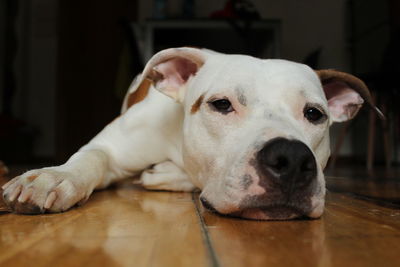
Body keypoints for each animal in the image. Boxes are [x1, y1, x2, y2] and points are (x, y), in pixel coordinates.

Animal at [0, 47, 382, 220]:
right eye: (221, 105)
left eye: (314, 114)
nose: (290, 158)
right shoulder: (112, 147)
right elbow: (90, 156)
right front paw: (52, 178)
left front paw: (166, 174)